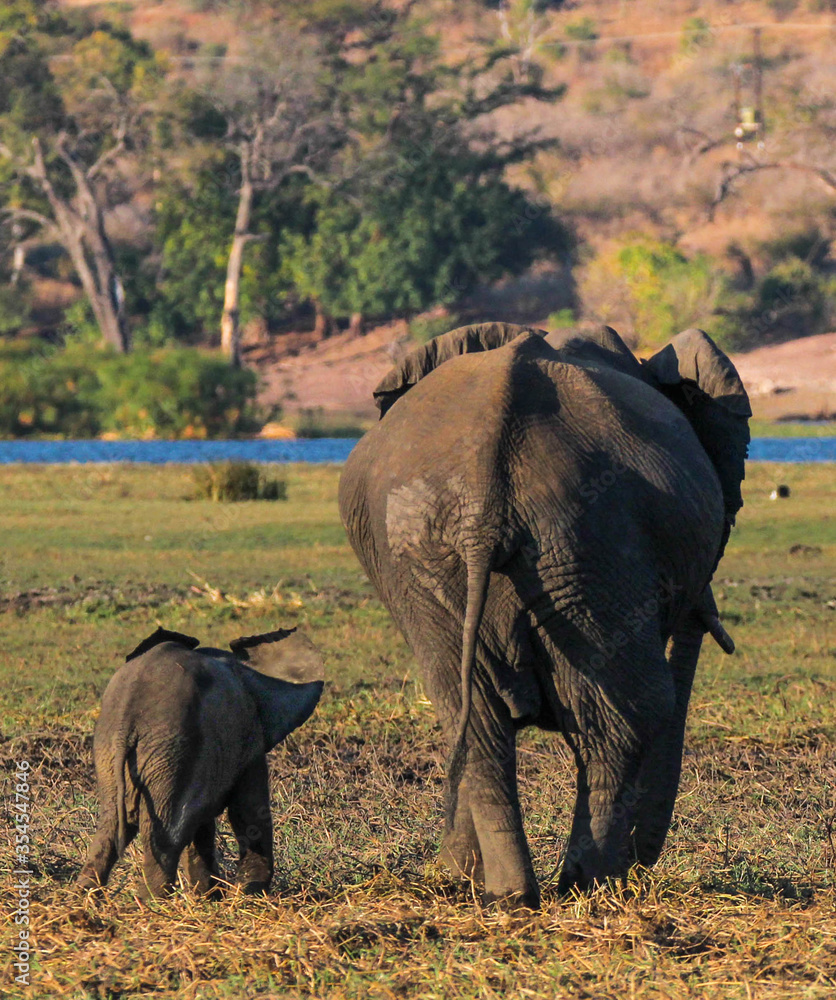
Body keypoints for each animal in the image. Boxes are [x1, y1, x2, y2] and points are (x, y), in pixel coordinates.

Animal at [77, 626, 324, 898]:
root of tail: (126, 724)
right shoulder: (248, 737)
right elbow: (248, 809)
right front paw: (248, 894)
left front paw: (210, 897)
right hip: (173, 753)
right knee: (167, 838)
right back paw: (151, 902)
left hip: (114, 752)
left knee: (110, 827)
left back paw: (85, 897)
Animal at [339, 322, 750, 907]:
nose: (645, 857)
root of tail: (482, 502)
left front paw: (455, 874)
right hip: (588, 544)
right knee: (625, 716)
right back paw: (590, 885)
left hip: (432, 556)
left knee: (474, 717)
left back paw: (508, 895)